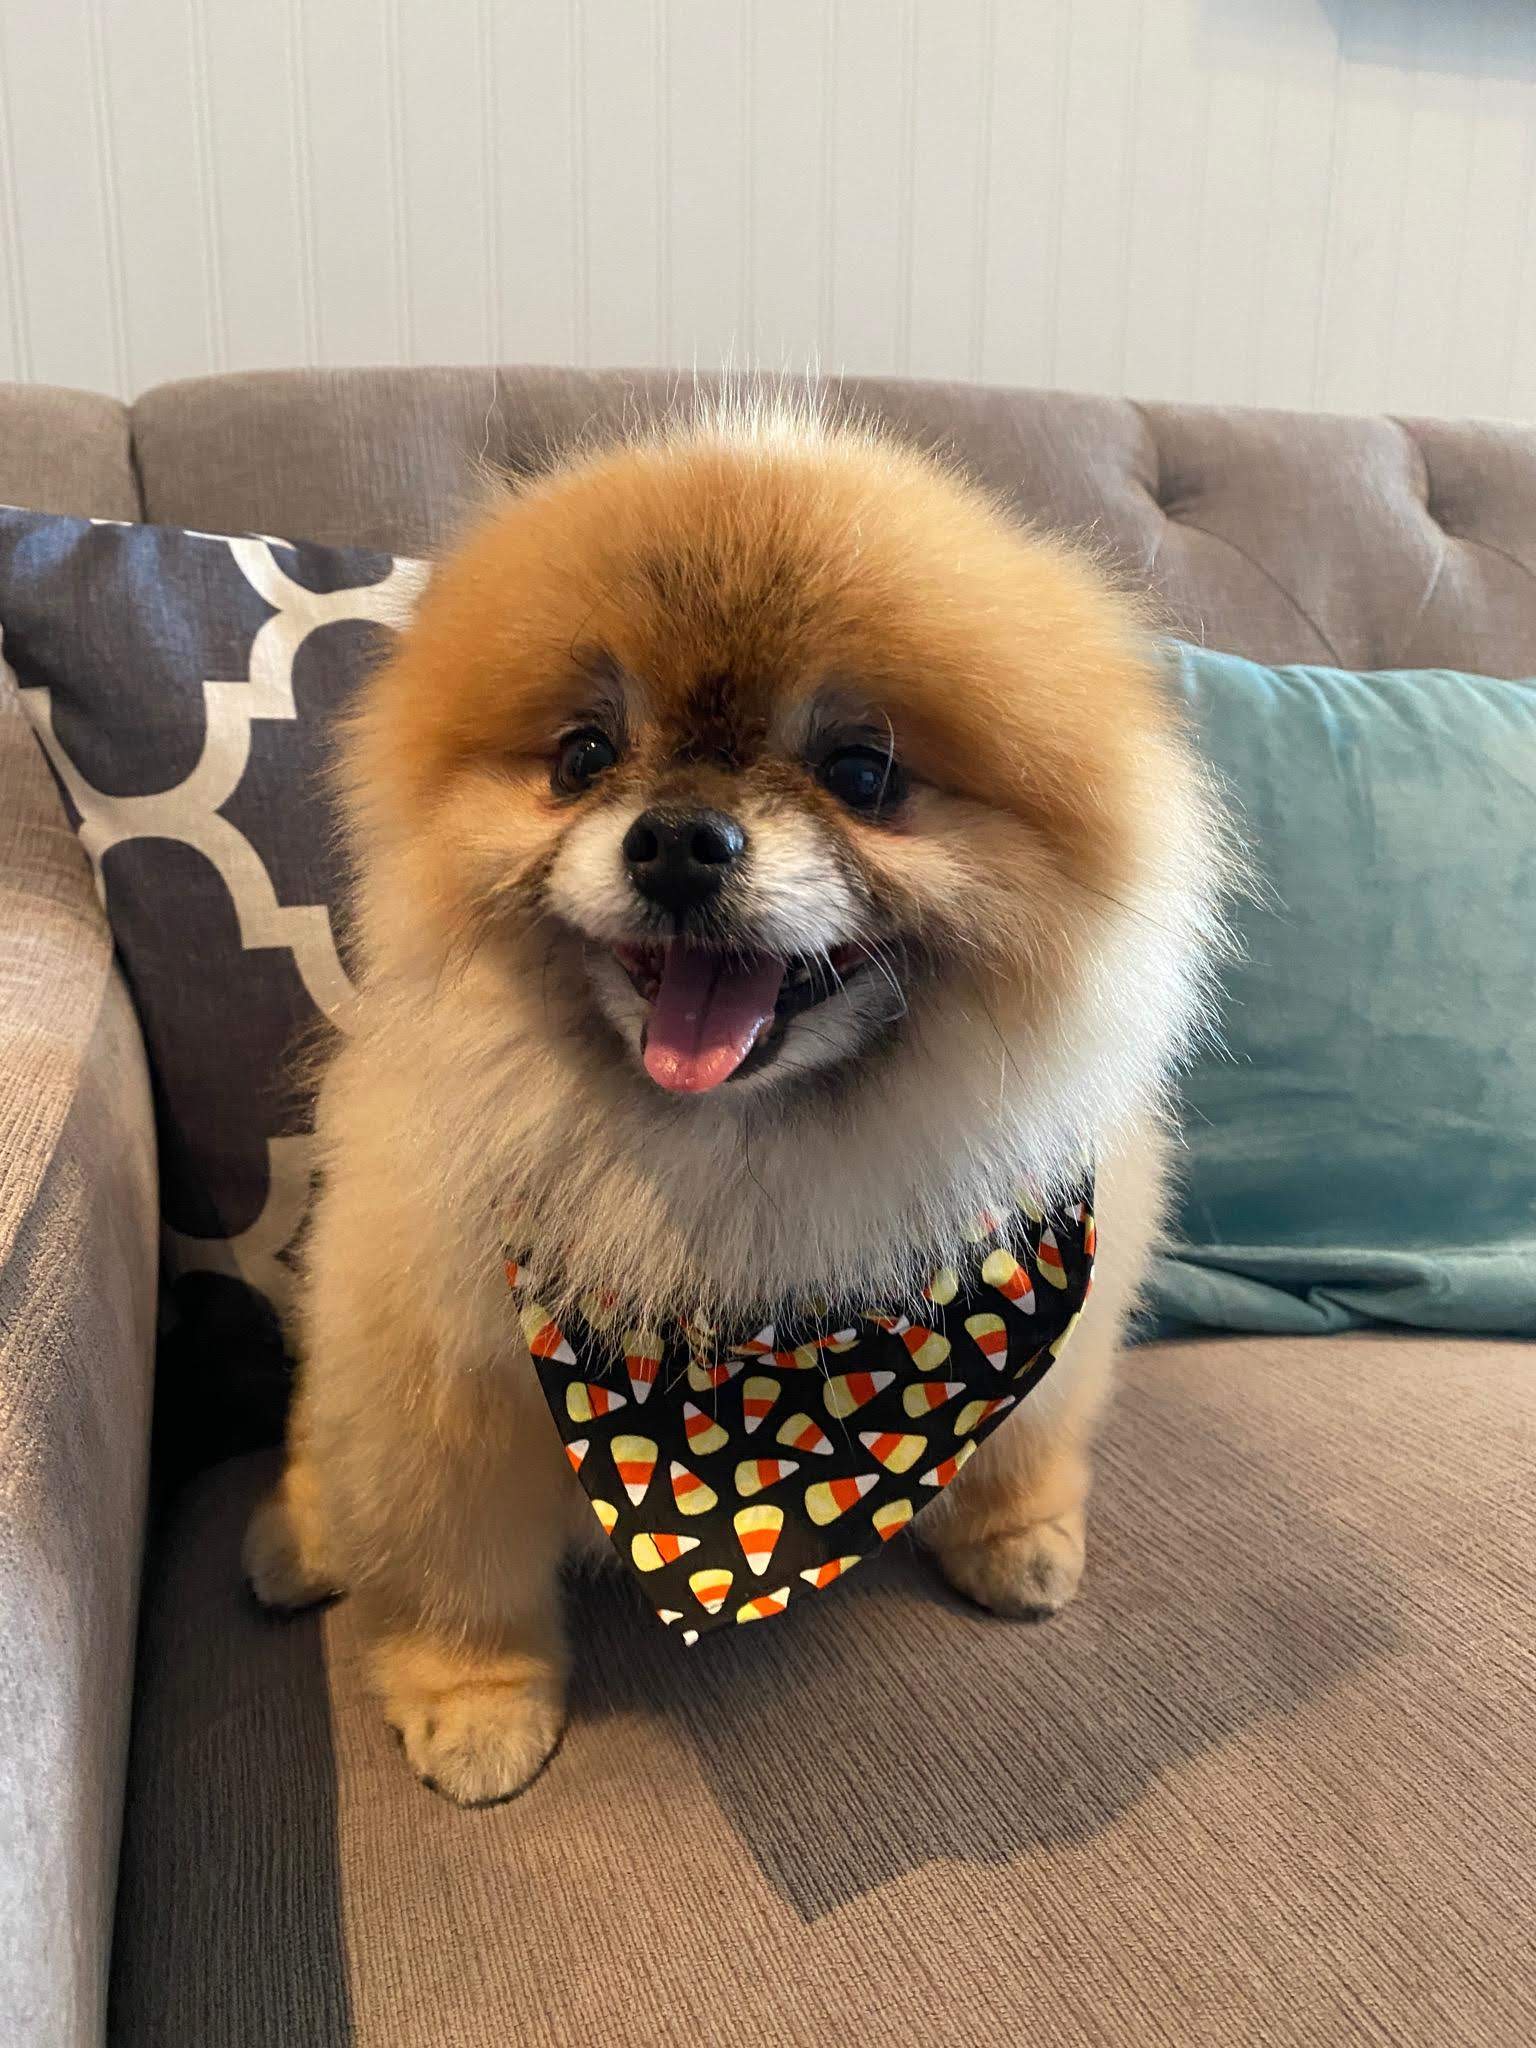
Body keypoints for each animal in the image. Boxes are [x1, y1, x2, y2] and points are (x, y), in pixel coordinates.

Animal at [243, 399, 1228, 1810]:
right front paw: (473, 1702)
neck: (740, 1175)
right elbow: (454, 1571)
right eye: (582, 755)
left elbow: (1032, 1430)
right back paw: (299, 1538)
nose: (677, 838)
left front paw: (1018, 1536)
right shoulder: (435, 1370)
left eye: (863, 772)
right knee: (328, 1458)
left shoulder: (1057, 1286)